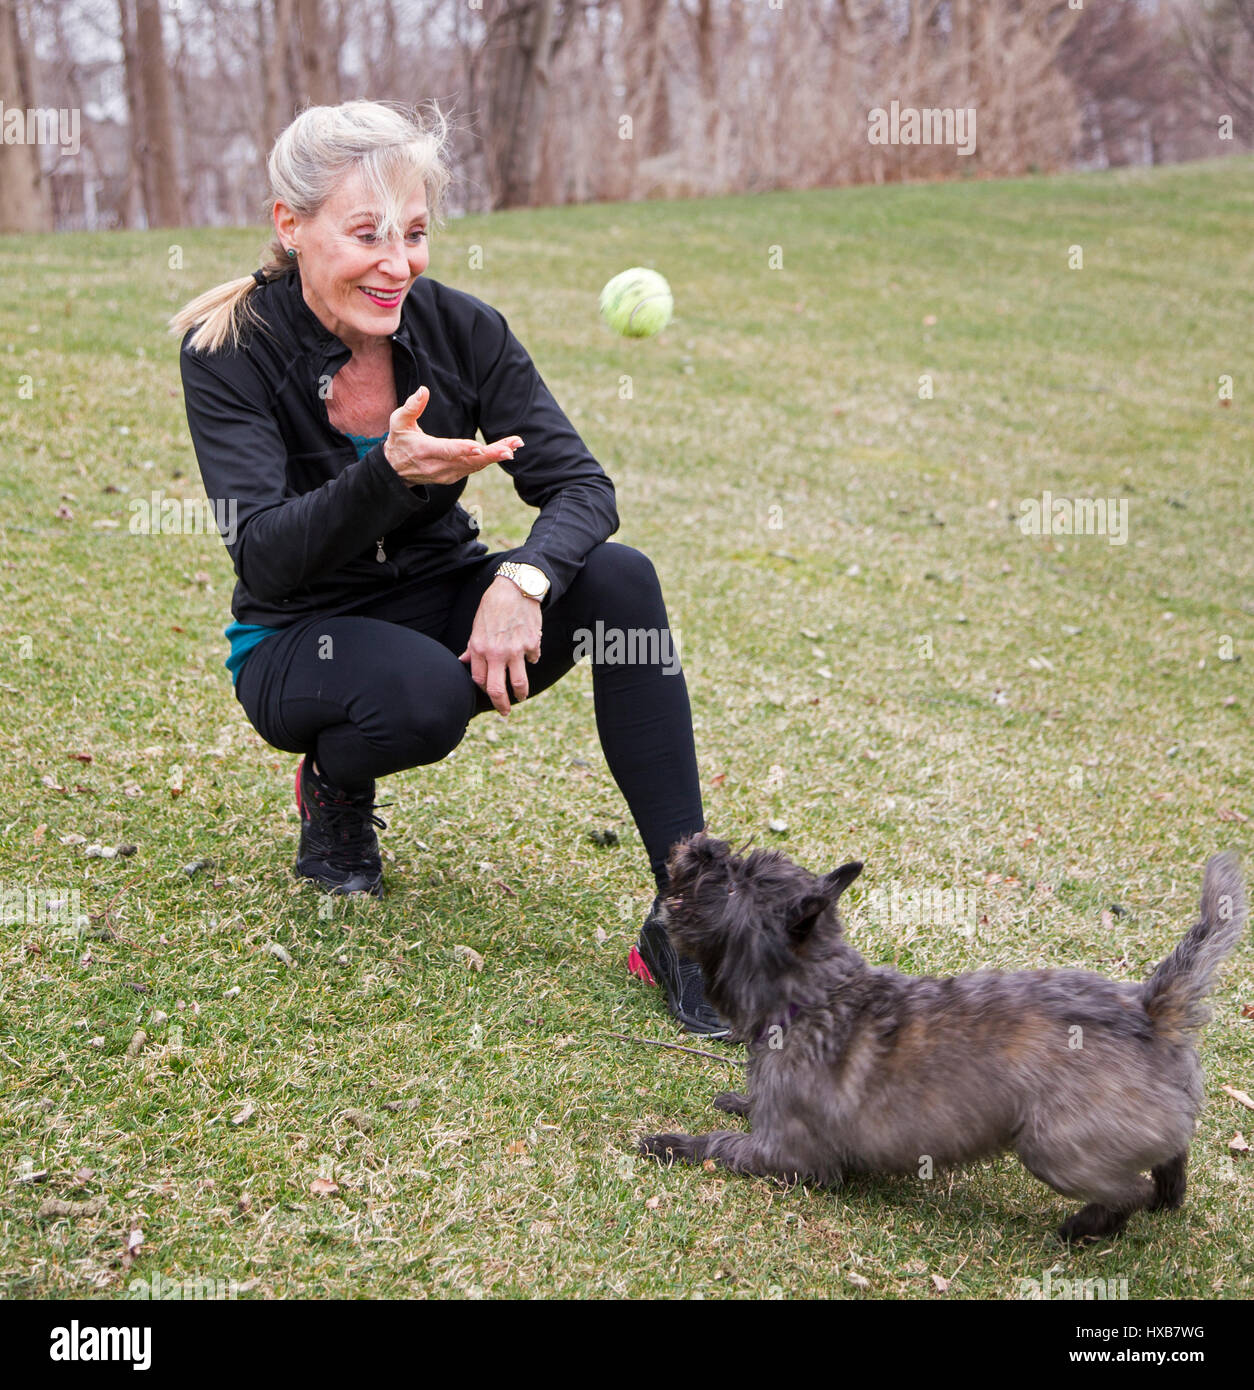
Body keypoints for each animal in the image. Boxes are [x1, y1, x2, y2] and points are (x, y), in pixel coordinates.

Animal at [642, 828, 1251, 1245]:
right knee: (1173, 1154)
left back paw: (1082, 1228)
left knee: (1127, 1190)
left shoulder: (788, 1155)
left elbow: (719, 1147)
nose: (703, 845)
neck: (814, 997)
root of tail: (1149, 1010)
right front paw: (737, 1100)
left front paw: (669, 1142)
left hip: (1055, 1149)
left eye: (732, 881)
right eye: (735, 866)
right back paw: (1168, 1198)